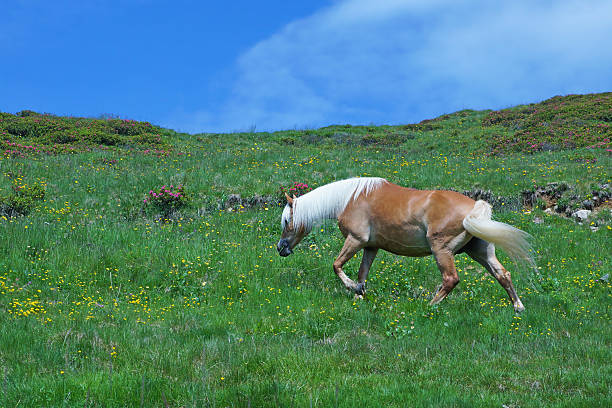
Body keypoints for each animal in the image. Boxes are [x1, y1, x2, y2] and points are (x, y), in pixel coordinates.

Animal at [278, 177, 536, 314]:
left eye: (287, 221)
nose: (281, 248)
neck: (350, 198)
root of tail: (475, 207)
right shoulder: (371, 247)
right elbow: (362, 274)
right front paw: (359, 294)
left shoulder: (355, 240)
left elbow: (337, 265)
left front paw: (353, 288)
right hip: (479, 251)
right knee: (503, 275)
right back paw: (518, 307)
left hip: (441, 250)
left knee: (451, 279)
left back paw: (429, 306)